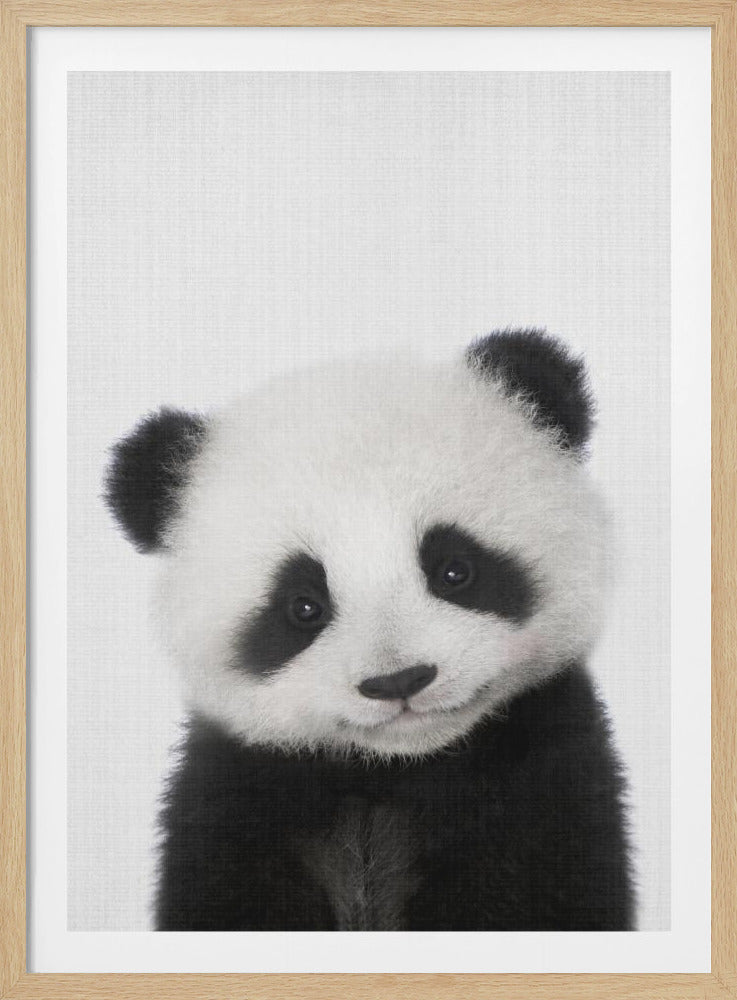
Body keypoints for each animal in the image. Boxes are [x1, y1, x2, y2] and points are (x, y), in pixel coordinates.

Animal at [105, 329, 634, 932]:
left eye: (455, 570)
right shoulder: (236, 798)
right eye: (303, 606)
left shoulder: (543, 781)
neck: (392, 771)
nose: (399, 680)